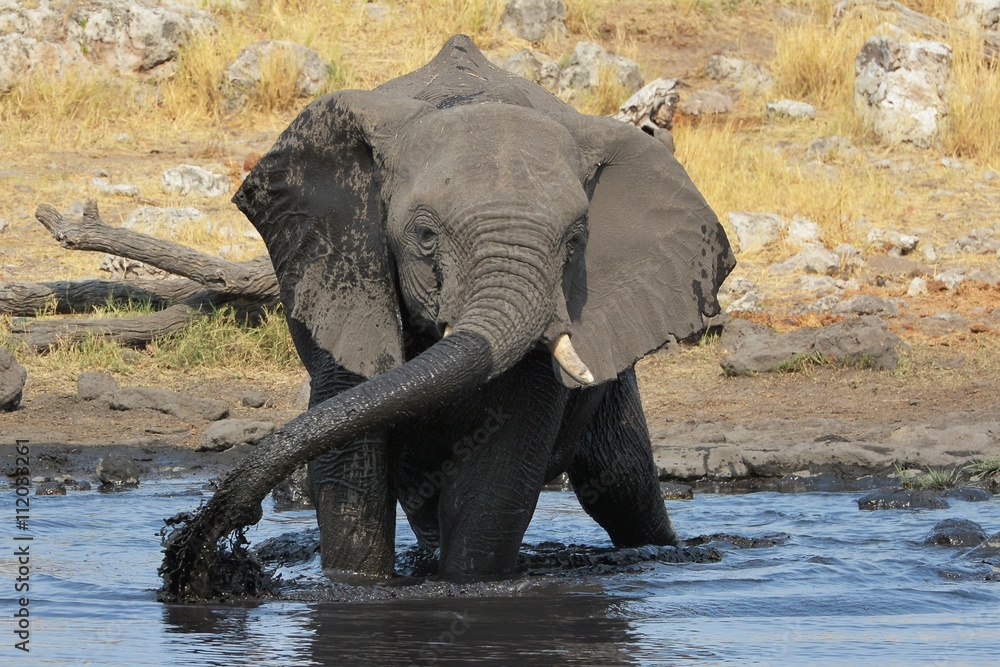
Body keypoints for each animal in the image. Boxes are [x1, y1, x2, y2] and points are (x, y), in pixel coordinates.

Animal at [159, 34, 734, 600]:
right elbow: (351, 469)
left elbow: (498, 473)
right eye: (425, 235)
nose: (194, 553)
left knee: (620, 483)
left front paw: (464, 585)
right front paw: (355, 587)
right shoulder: (343, 277)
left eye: (576, 242)